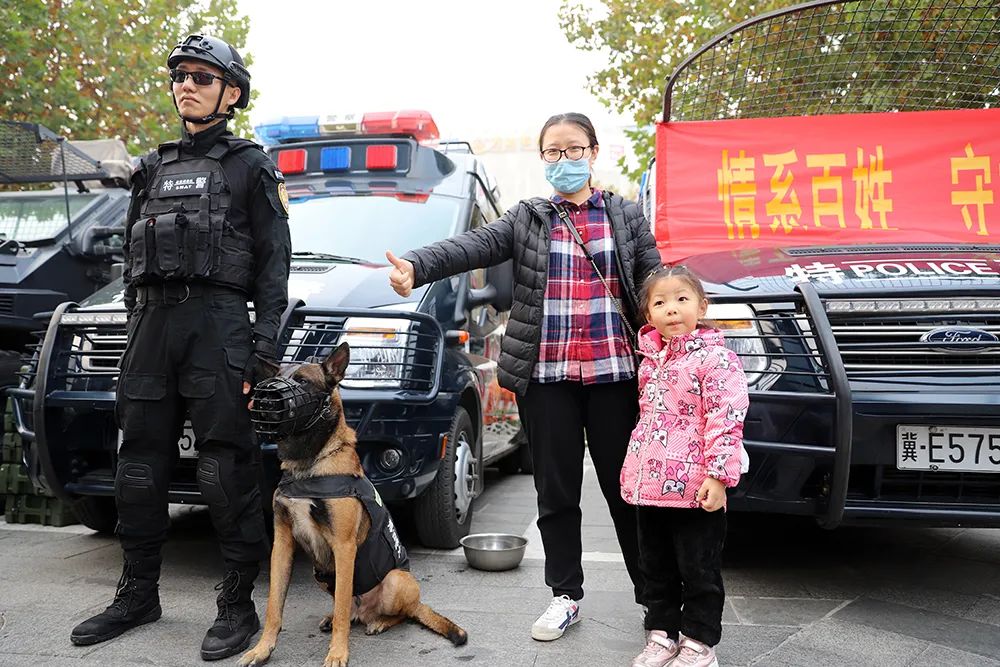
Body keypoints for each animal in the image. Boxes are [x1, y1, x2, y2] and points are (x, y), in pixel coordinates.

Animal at [238, 344, 468, 667]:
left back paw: (380, 622)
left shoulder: (344, 547)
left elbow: (342, 611)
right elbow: (274, 606)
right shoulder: (282, 545)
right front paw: (262, 649)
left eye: (303, 381)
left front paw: (337, 653)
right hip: (321, 573)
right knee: (350, 610)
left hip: (395, 581)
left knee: (397, 613)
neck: (309, 465)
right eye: (276, 377)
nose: (265, 397)